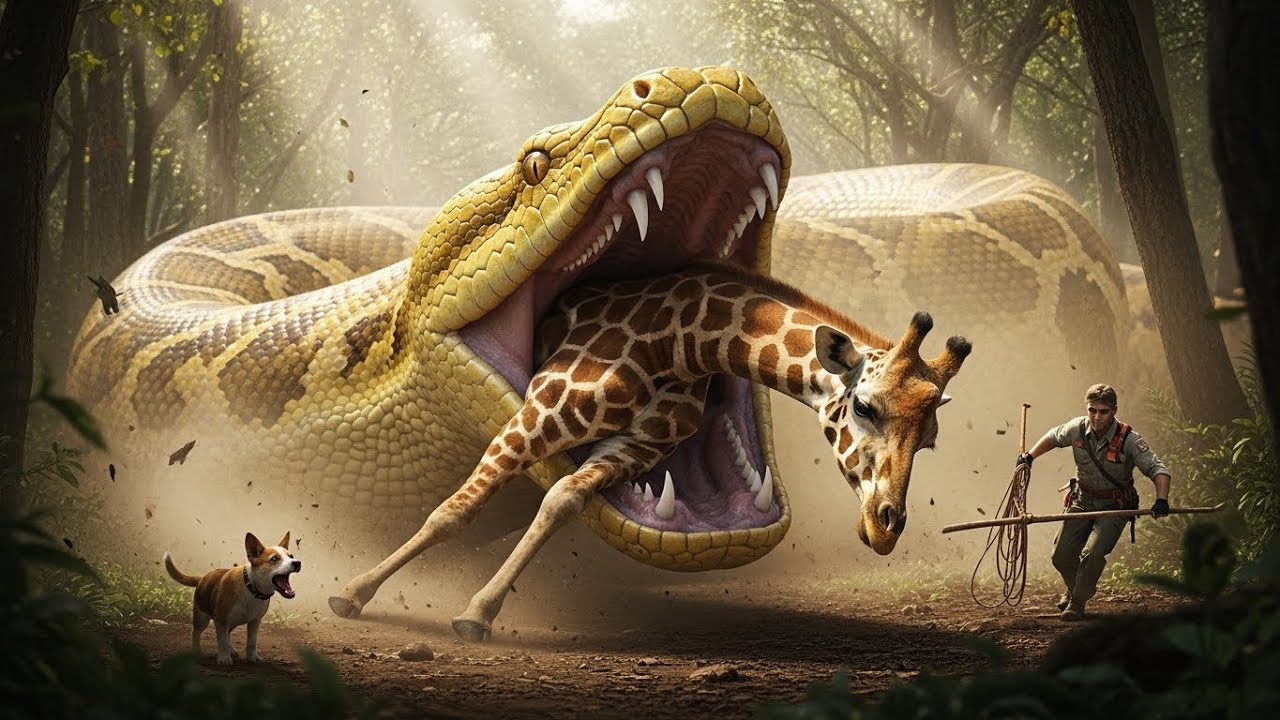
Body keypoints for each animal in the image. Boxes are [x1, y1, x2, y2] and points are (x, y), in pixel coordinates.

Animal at [329, 262, 972, 641]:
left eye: (932, 438)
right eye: (863, 407)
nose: (884, 527)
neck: (684, 339)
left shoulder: (639, 442)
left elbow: (562, 498)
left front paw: (479, 610)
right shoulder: (540, 410)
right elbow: (454, 509)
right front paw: (352, 594)